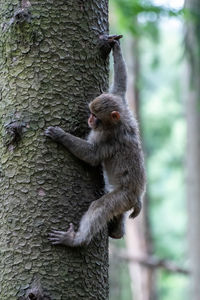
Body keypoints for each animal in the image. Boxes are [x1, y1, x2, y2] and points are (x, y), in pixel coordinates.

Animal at [45, 37, 145, 246]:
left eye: (95, 116)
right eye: (91, 113)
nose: (90, 120)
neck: (117, 122)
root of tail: (136, 196)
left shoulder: (108, 139)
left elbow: (92, 155)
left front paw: (61, 135)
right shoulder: (122, 104)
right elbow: (120, 86)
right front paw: (115, 48)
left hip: (123, 197)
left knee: (100, 208)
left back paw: (76, 240)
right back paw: (116, 231)